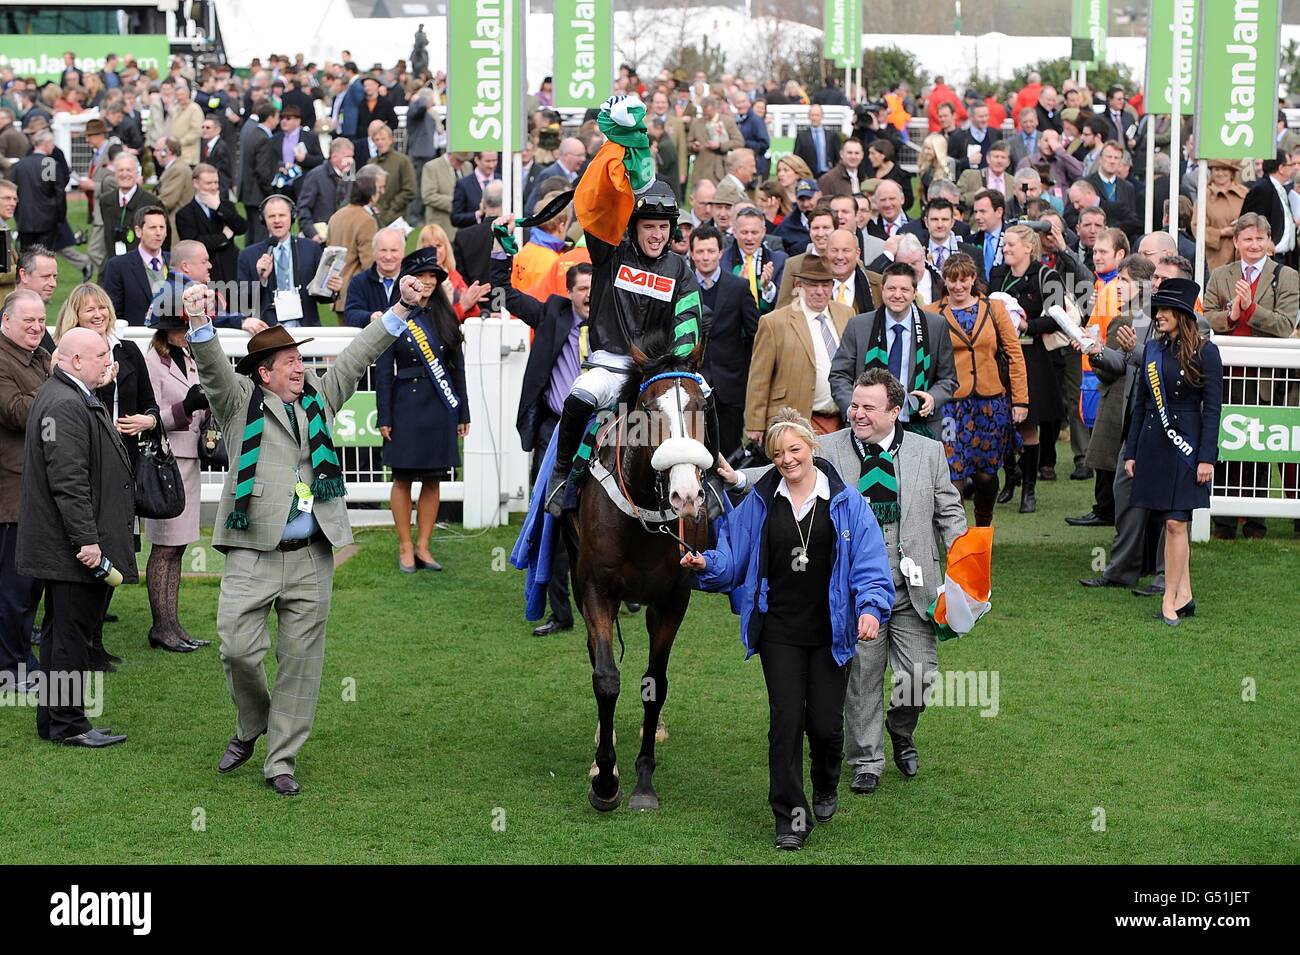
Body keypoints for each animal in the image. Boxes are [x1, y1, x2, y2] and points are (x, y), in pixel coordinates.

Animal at [561, 332, 717, 810]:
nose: (686, 494)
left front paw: (644, 780)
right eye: (649, 409)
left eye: (701, 407)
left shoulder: (673, 600)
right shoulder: (596, 587)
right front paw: (605, 779)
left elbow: (655, 684)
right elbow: (606, 677)